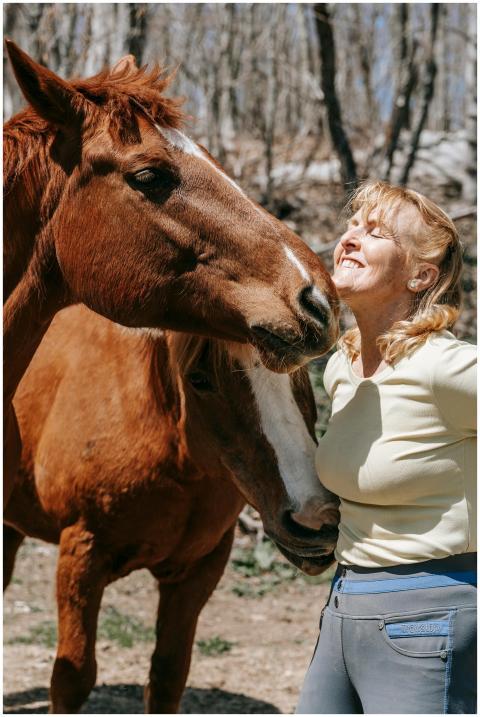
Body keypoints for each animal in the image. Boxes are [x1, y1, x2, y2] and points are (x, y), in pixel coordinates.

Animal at [4, 303, 339, 713]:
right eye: (199, 378)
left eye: (300, 373)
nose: (315, 519)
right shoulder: (81, 555)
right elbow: (72, 678)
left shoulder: (201, 567)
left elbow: (168, 675)